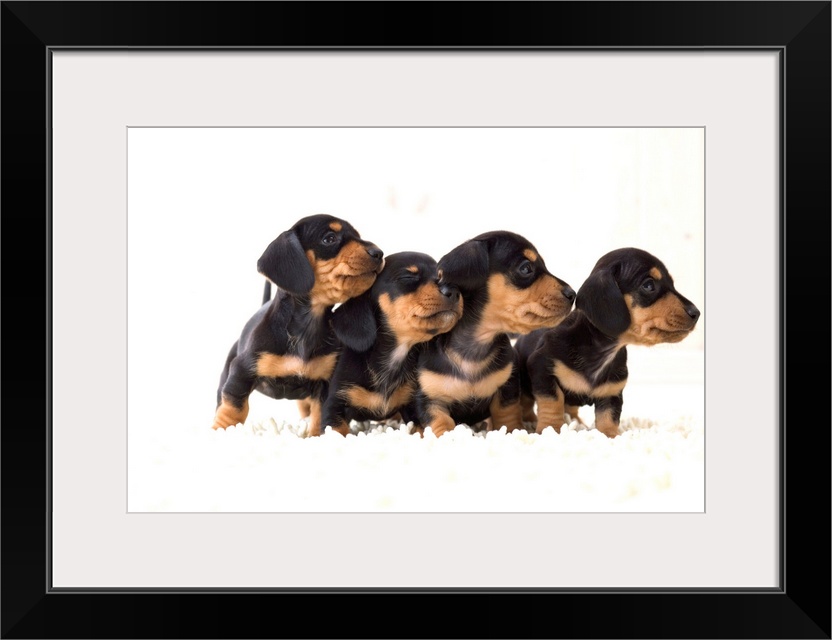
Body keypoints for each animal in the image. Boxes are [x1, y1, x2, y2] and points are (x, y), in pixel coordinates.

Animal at [211, 214, 384, 435]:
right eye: (329, 238)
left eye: (358, 236)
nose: (379, 253)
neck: (307, 327)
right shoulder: (241, 372)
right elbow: (234, 407)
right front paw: (222, 429)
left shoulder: (325, 384)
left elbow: (320, 414)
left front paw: (317, 436)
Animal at [320, 251, 463, 434]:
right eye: (408, 277)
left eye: (441, 276)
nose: (454, 291)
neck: (394, 356)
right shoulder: (334, 405)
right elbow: (337, 431)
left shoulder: (413, 405)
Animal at [411, 231, 576, 437]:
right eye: (526, 268)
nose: (573, 294)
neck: (475, 346)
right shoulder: (430, 399)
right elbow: (441, 421)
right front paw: (449, 437)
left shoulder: (507, 387)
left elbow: (506, 412)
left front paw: (512, 431)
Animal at [515, 247, 700, 438]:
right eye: (649, 285)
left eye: (672, 283)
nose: (696, 313)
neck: (602, 350)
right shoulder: (542, 368)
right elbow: (553, 401)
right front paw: (550, 429)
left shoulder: (612, 391)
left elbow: (608, 418)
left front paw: (611, 436)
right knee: (527, 404)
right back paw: (530, 422)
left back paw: (576, 422)